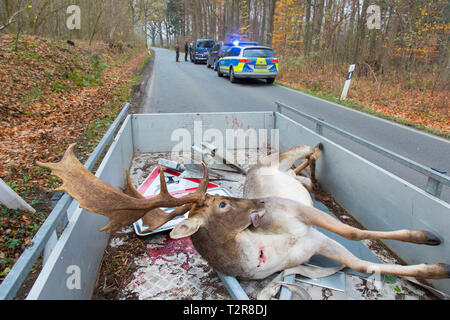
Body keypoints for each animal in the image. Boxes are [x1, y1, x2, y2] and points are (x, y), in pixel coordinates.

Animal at [38, 144, 450, 298]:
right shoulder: (311, 243)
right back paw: (312, 168)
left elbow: (352, 230)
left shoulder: (299, 215)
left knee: (304, 151)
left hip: (278, 168)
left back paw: (319, 149)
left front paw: (429, 237)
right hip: (284, 175)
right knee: (302, 173)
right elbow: (361, 261)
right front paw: (437, 268)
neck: (264, 250)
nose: (259, 203)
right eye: (222, 203)